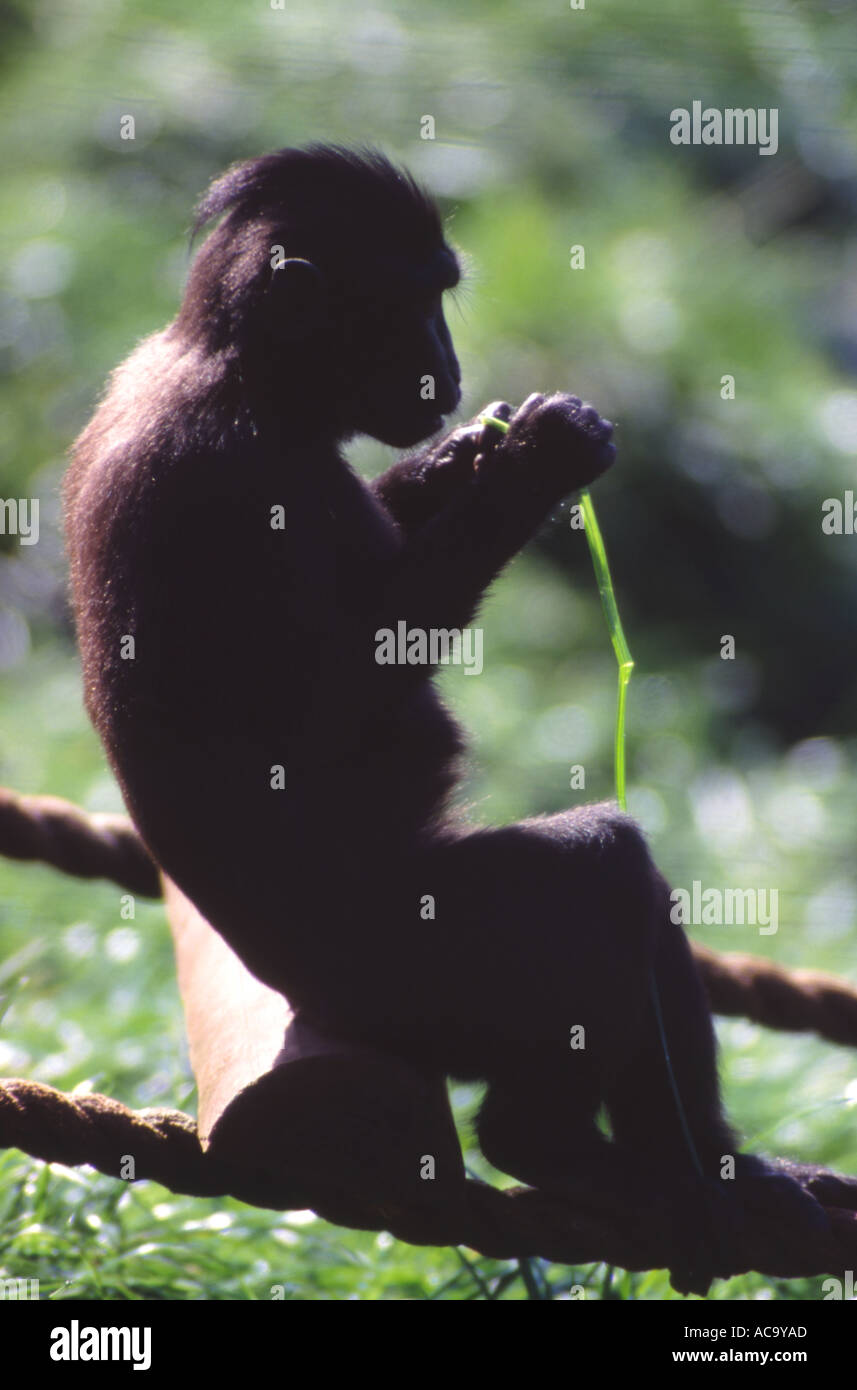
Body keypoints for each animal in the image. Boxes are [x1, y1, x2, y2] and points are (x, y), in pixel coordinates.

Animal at [63, 144, 829, 1292]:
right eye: (416, 303)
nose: (450, 367)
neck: (242, 378)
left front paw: (469, 453)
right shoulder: (233, 478)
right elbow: (328, 707)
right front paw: (538, 459)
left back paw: (708, 1174)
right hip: (422, 971)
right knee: (604, 867)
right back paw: (548, 1144)